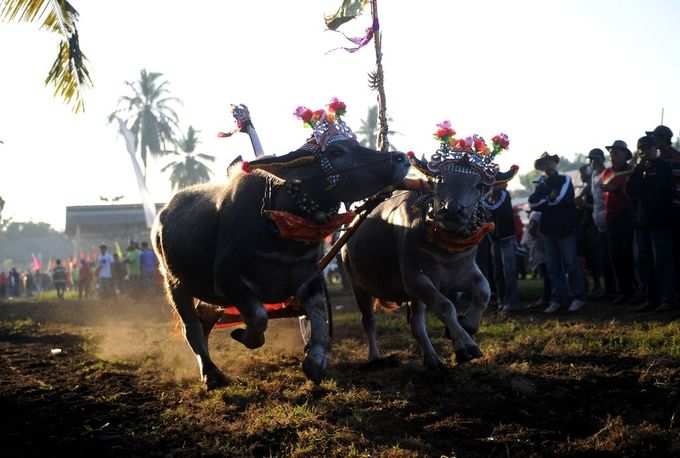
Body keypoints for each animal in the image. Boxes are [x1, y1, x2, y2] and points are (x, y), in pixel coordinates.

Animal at [154, 110, 410, 386]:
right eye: (336, 152)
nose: (401, 158)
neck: (280, 223)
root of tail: (162, 215)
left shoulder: (309, 276)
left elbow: (318, 315)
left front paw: (315, 360)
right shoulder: (228, 280)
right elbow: (258, 316)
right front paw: (245, 336)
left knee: (205, 318)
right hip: (175, 284)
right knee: (191, 327)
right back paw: (211, 374)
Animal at [342, 131, 512, 368]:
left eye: (479, 186)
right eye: (440, 180)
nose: (452, 210)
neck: (445, 250)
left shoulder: (466, 271)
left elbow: (484, 292)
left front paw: (467, 327)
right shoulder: (416, 280)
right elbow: (446, 306)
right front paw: (466, 346)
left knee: (416, 324)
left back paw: (432, 359)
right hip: (358, 285)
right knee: (368, 320)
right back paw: (375, 356)